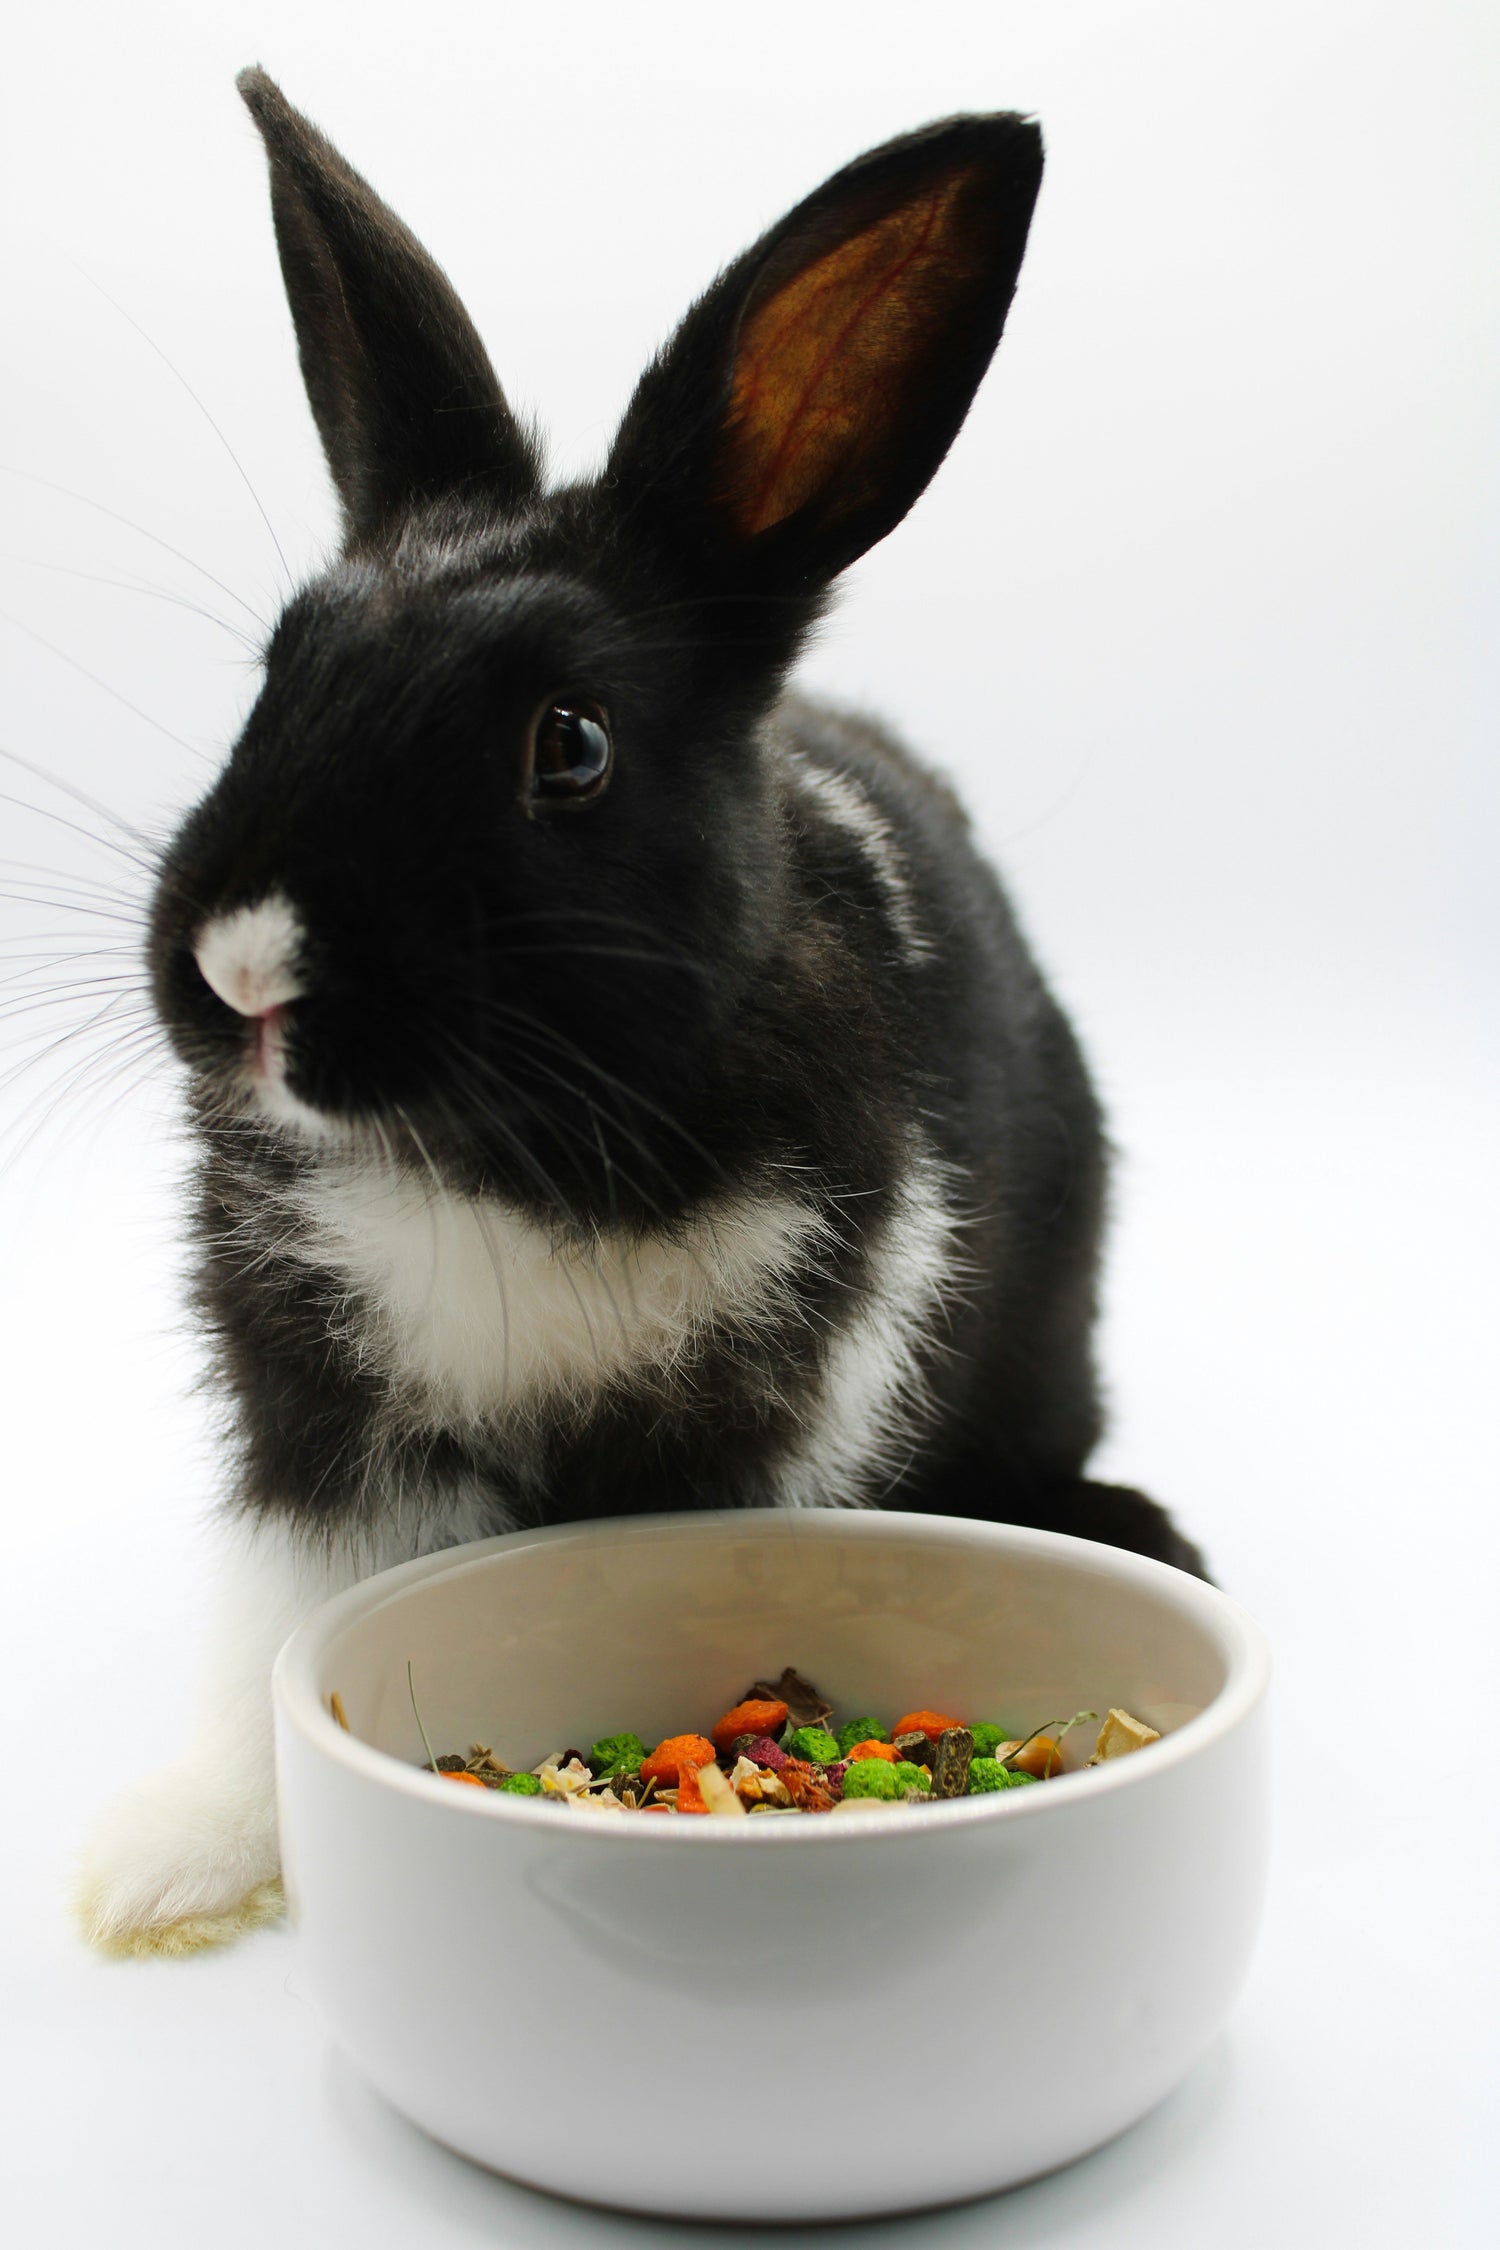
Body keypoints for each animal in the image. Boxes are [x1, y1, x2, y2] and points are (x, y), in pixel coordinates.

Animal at [75, 68, 1208, 1955]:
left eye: (573, 744)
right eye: (280, 668)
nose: (245, 971)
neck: (504, 1152)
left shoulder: (765, 1404)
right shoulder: (319, 1420)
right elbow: (276, 1629)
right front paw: (171, 1870)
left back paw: (1135, 1528)